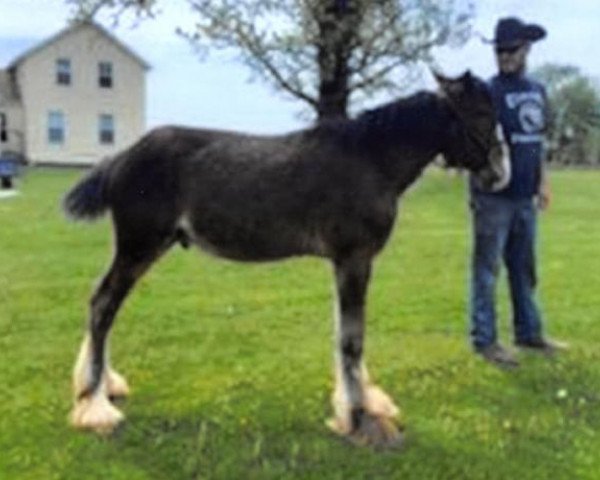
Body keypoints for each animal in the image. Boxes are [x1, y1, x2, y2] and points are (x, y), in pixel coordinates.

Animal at [63, 70, 508, 446]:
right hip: (138, 247)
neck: (370, 159)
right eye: (482, 113)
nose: (499, 175)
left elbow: (345, 332)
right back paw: (95, 406)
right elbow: (351, 338)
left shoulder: (345, 263)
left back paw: (104, 388)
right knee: (103, 305)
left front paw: (362, 404)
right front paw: (360, 418)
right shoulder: (354, 259)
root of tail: (120, 158)